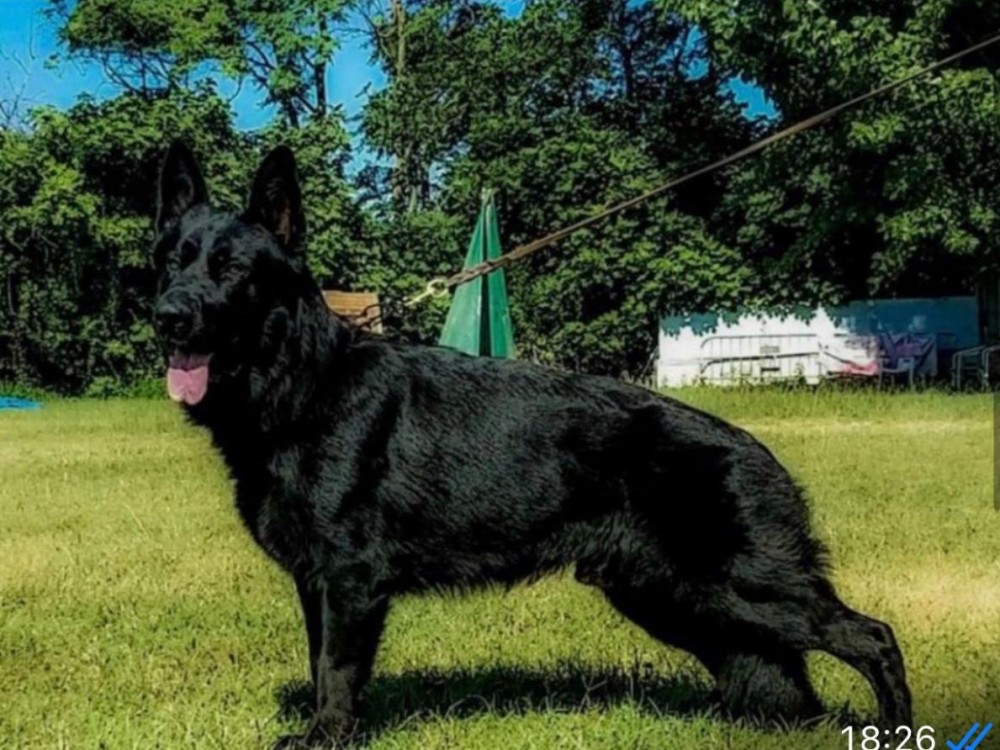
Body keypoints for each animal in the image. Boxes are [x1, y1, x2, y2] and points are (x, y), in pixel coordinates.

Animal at [152, 140, 912, 747]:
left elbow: (335, 672)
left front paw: (326, 739)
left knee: (875, 638)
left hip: (736, 587)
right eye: (172, 262)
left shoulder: (349, 583)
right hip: (673, 596)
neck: (303, 383)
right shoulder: (318, 586)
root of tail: (759, 454)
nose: (166, 316)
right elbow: (319, 668)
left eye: (231, 269)